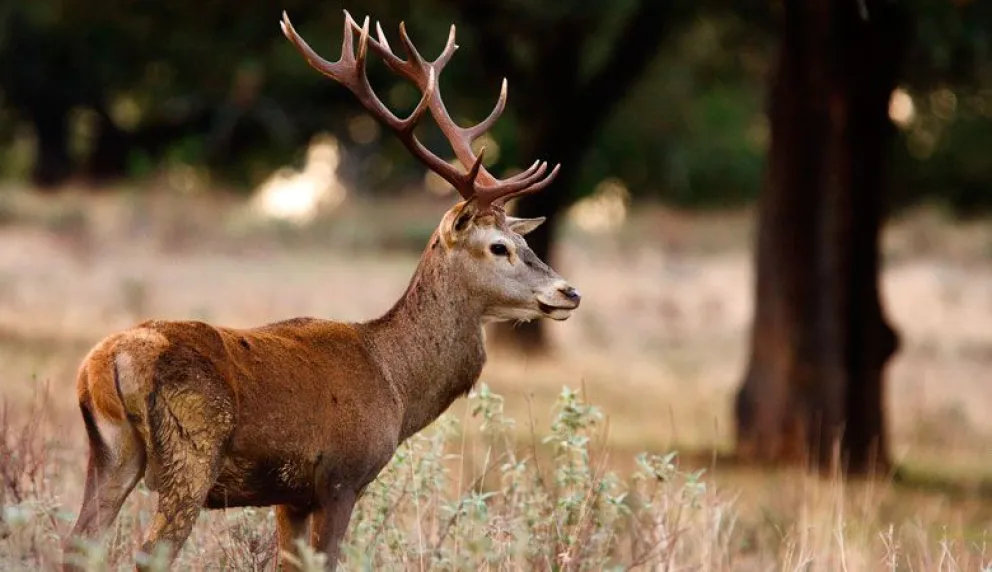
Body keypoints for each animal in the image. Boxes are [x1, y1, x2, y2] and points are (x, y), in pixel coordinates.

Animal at [62, 10, 581, 572]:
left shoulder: (290, 496)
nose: (569, 292)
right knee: (149, 552)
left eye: (523, 240)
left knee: (76, 543)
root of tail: (104, 364)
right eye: (498, 247)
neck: (396, 384)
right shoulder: (340, 476)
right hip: (191, 452)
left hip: (111, 455)